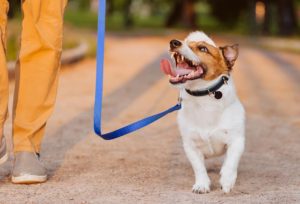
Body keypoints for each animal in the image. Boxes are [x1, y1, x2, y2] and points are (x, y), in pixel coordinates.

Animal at [161, 31, 245, 194]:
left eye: (203, 48)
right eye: (185, 42)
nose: (174, 42)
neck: (204, 97)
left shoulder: (237, 140)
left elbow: (231, 162)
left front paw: (227, 180)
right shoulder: (190, 145)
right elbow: (199, 168)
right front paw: (202, 184)